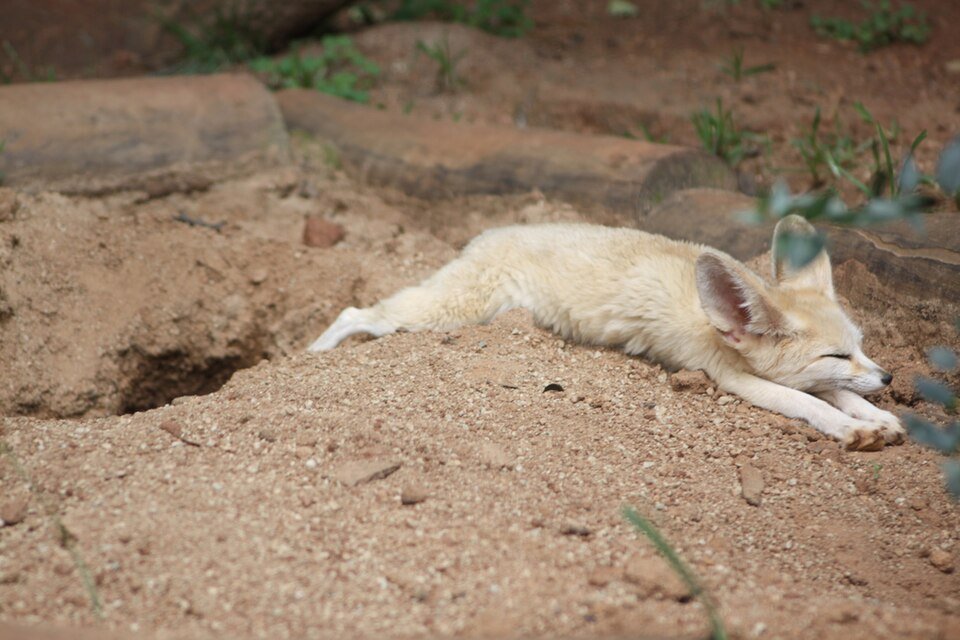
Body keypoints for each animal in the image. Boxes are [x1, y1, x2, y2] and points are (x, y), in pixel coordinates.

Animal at [308, 215, 905, 451]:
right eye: (835, 353)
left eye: (859, 348)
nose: (891, 377)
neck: (717, 325)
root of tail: (491, 233)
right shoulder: (730, 377)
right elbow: (810, 402)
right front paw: (851, 428)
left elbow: (831, 393)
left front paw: (878, 417)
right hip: (442, 313)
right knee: (355, 312)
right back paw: (312, 352)